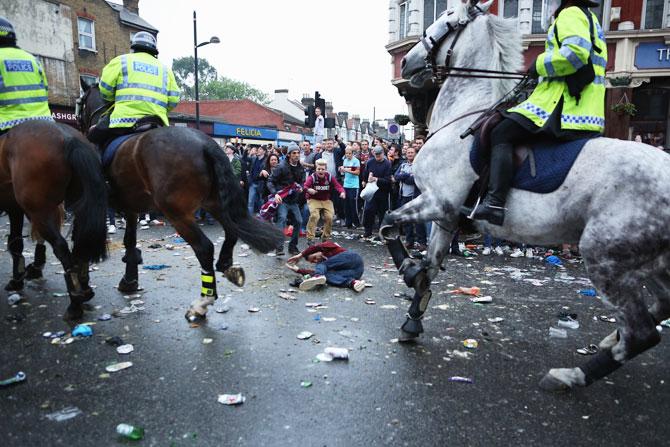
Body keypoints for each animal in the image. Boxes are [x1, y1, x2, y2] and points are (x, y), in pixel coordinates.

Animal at [0, 121, 107, 320]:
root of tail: (68, 138)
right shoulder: (15, 208)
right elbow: (16, 242)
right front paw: (20, 276)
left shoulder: (16, 208)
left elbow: (16, 243)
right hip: (74, 204)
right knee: (78, 242)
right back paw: (84, 287)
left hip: (39, 210)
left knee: (61, 247)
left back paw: (75, 302)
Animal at [384, 0, 670, 392]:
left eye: (444, 19)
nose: (409, 63)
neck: (461, 119)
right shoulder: (446, 218)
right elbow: (431, 263)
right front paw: (413, 317)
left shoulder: (436, 202)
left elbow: (388, 224)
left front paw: (408, 271)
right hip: (650, 260)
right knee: (661, 307)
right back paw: (611, 340)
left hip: (606, 257)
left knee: (643, 332)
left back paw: (571, 375)